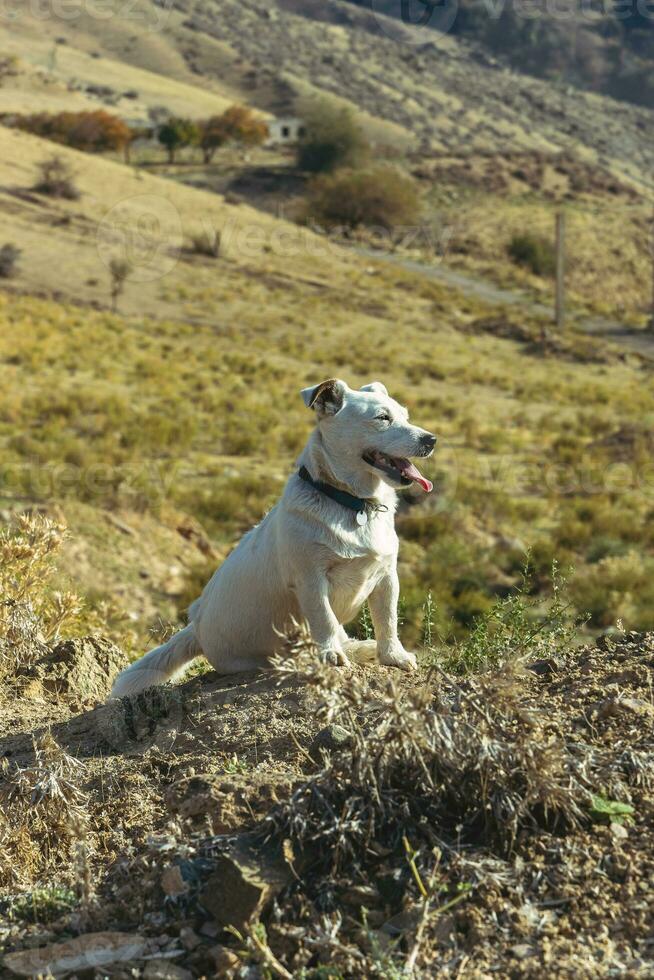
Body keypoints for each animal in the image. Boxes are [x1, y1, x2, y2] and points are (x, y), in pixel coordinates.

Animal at [110, 378, 438, 700]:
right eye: (382, 418)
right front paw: (330, 655)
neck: (353, 503)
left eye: (406, 416)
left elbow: (387, 621)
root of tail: (196, 628)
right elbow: (324, 619)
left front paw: (392, 655)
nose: (431, 439)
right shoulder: (311, 580)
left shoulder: (386, 577)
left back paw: (361, 649)